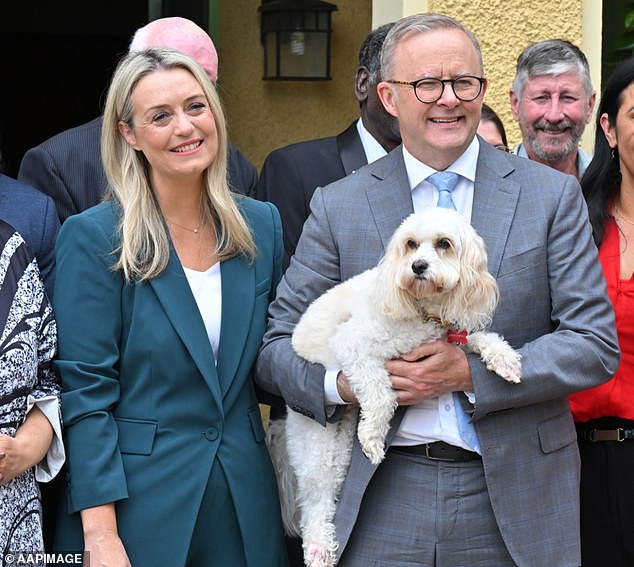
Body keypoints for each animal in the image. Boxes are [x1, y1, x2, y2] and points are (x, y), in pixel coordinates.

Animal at [266, 209, 520, 567]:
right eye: (411, 244)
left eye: (444, 244)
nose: (418, 266)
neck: (423, 311)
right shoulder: (354, 346)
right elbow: (382, 394)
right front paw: (373, 437)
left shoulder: (449, 333)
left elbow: (476, 338)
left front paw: (504, 358)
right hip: (318, 442)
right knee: (315, 501)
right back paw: (318, 549)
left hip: (339, 445)